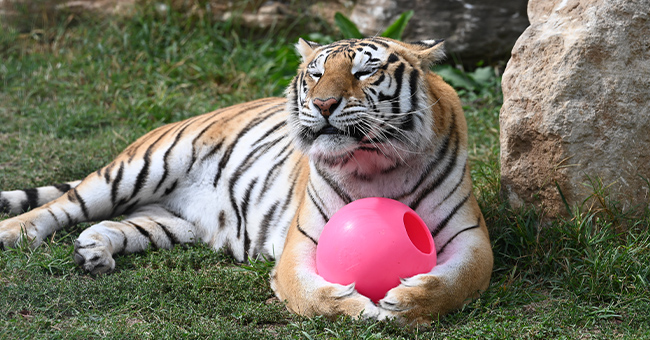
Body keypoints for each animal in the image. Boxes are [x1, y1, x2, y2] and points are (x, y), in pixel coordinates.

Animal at [0, 37, 492, 324]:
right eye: (316, 74)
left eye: (365, 71)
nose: (324, 104)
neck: (377, 164)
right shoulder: (301, 243)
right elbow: (312, 295)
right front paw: (356, 306)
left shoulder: (470, 237)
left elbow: (457, 281)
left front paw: (405, 302)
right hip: (141, 167)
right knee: (63, 206)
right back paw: (14, 233)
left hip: (170, 222)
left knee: (114, 224)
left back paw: (93, 253)